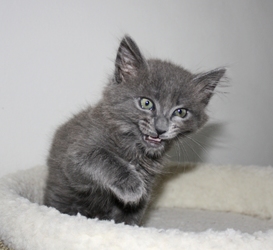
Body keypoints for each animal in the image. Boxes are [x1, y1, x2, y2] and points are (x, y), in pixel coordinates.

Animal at [43, 36, 224, 226]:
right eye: (146, 103)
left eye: (180, 112)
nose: (161, 128)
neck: (135, 148)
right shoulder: (76, 156)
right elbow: (102, 157)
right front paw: (131, 185)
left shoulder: (149, 181)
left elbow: (131, 214)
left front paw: (127, 228)